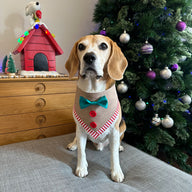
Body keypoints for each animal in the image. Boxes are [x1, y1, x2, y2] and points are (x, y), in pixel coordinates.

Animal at [65, 34, 128, 183]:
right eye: (81, 46)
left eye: (103, 46)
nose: (88, 57)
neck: (93, 95)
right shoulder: (81, 129)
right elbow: (81, 152)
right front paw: (81, 167)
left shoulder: (115, 131)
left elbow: (114, 155)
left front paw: (116, 172)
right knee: (77, 140)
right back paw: (73, 144)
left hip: (123, 126)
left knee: (117, 144)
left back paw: (120, 146)